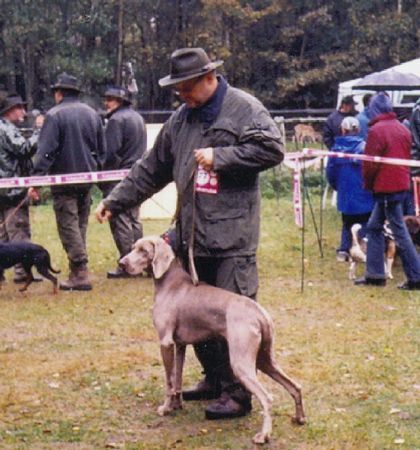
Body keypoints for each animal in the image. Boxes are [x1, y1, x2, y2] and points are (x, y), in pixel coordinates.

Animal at [120, 236, 306, 442]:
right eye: (133, 248)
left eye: (144, 251)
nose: (121, 263)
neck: (170, 282)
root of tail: (259, 312)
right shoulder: (180, 345)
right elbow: (178, 379)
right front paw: (177, 405)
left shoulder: (165, 342)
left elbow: (169, 381)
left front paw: (165, 408)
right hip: (264, 359)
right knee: (295, 386)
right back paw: (299, 418)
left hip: (241, 362)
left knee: (267, 397)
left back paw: (263, 435)